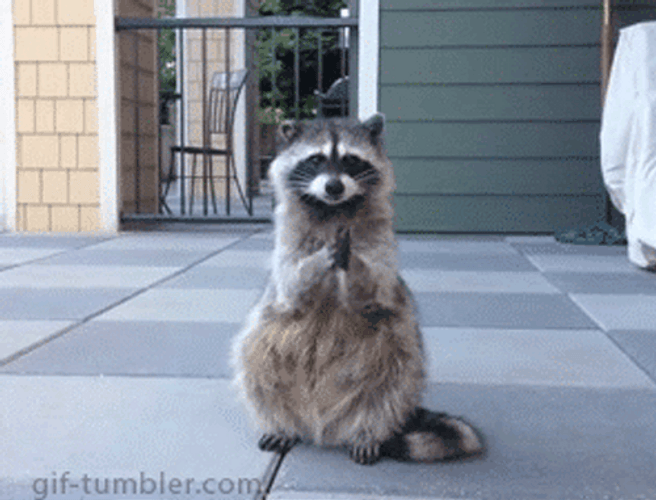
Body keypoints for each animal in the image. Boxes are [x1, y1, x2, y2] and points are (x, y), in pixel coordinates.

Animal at [231, 114, 484, 465]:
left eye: (351, 160)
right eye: (316, 160)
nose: (334, 186)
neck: (333, 209)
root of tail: (323, 427)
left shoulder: (381, 245)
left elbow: (374, 289)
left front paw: (351, 261)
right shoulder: (287, 244)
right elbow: (291, 286)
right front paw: (320, 258)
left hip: (394, 348)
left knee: (395, 379)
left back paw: (368, 431)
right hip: (270, 339)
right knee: (255, 359)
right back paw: (282, 424)